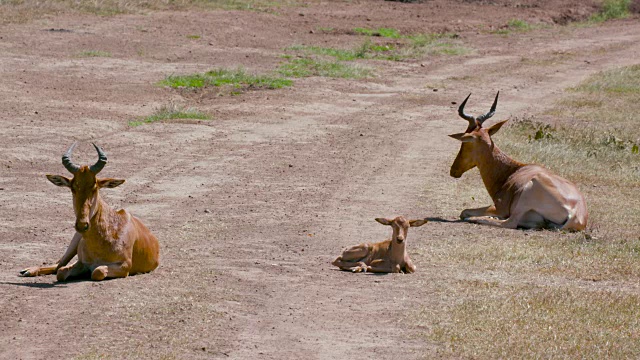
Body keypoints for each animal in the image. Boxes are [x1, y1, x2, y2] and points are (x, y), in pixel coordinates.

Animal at [20, 143, 161, 282]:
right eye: (73, 187)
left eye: (94, 186)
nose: (82, 225)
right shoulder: (81, 262)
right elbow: (61, 272)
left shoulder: (125, 266)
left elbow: (97, 272)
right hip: (74, 241)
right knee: (58, 265)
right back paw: (27, 270)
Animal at [448, 91, 588, 229]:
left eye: (465, 143)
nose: (453, 170)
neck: (514, 170)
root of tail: (576, 215)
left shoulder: (500, 208)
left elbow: (464, 211)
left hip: (527, 193)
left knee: (510, 222)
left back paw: (474, 219)